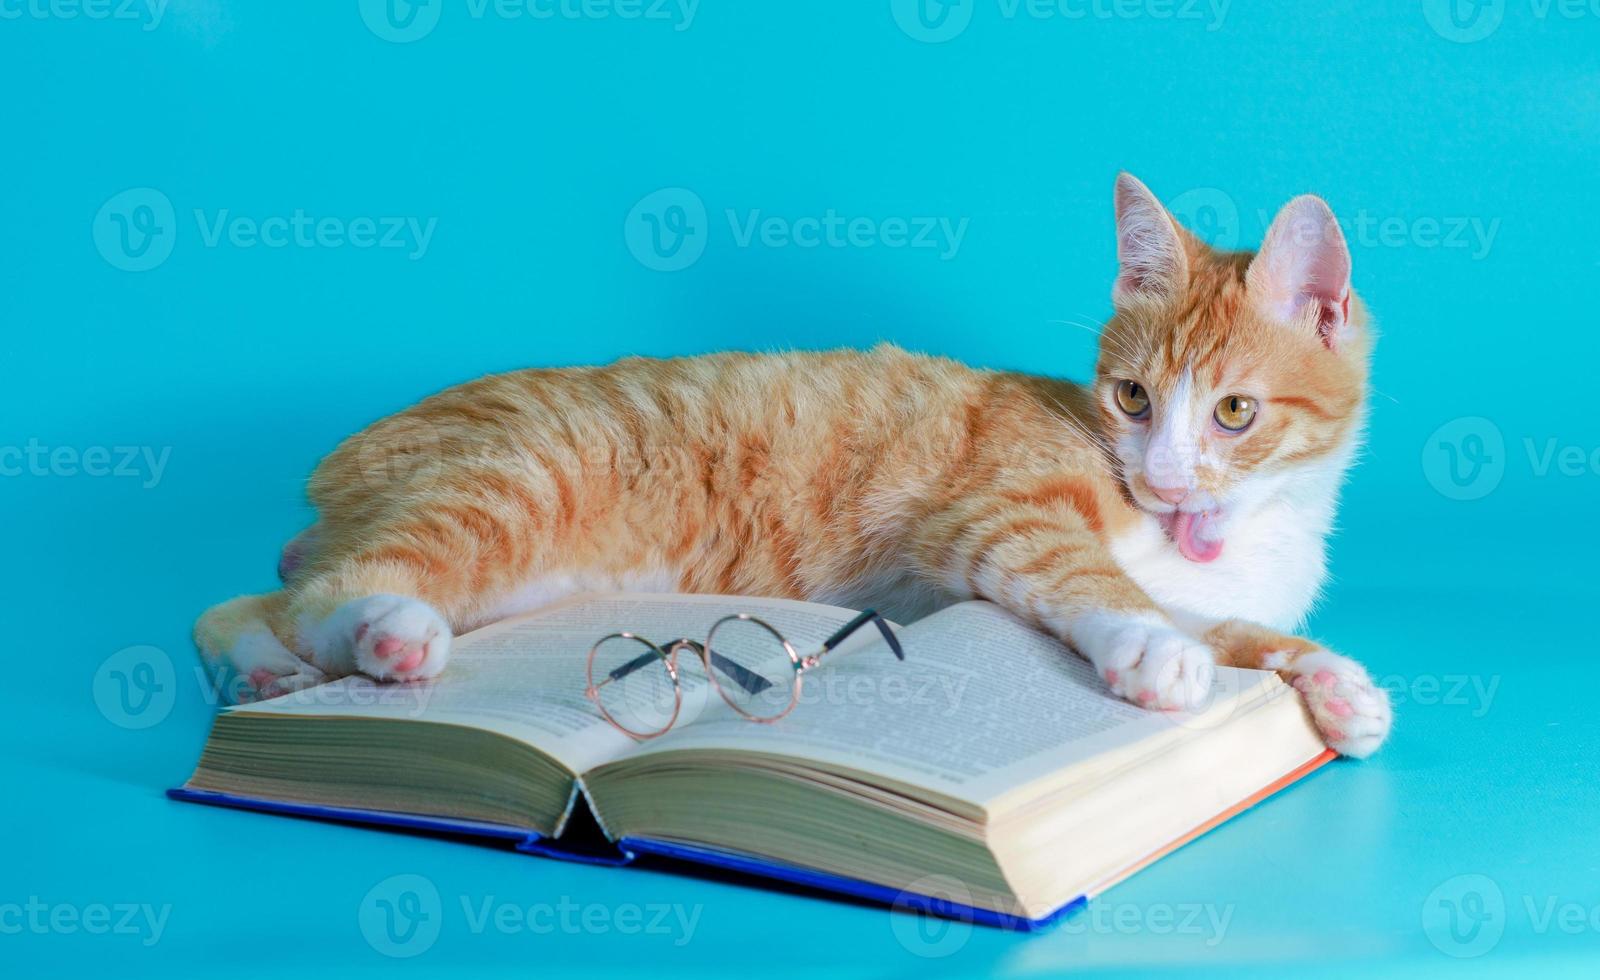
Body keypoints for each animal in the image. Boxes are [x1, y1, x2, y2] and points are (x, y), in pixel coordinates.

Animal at [200, 176, 1395, 759]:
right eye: (1133, 398)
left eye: (1233, 412)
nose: (1168, 476)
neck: (1225, 532)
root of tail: (344, 460)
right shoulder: (999, 520)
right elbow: (1099, 584)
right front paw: (1155, 650)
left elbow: (1230, 624)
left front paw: (1328, 681)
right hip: (511, 489)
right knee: (321, 591)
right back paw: (382, 635)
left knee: (246, 602)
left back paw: (270, 672)